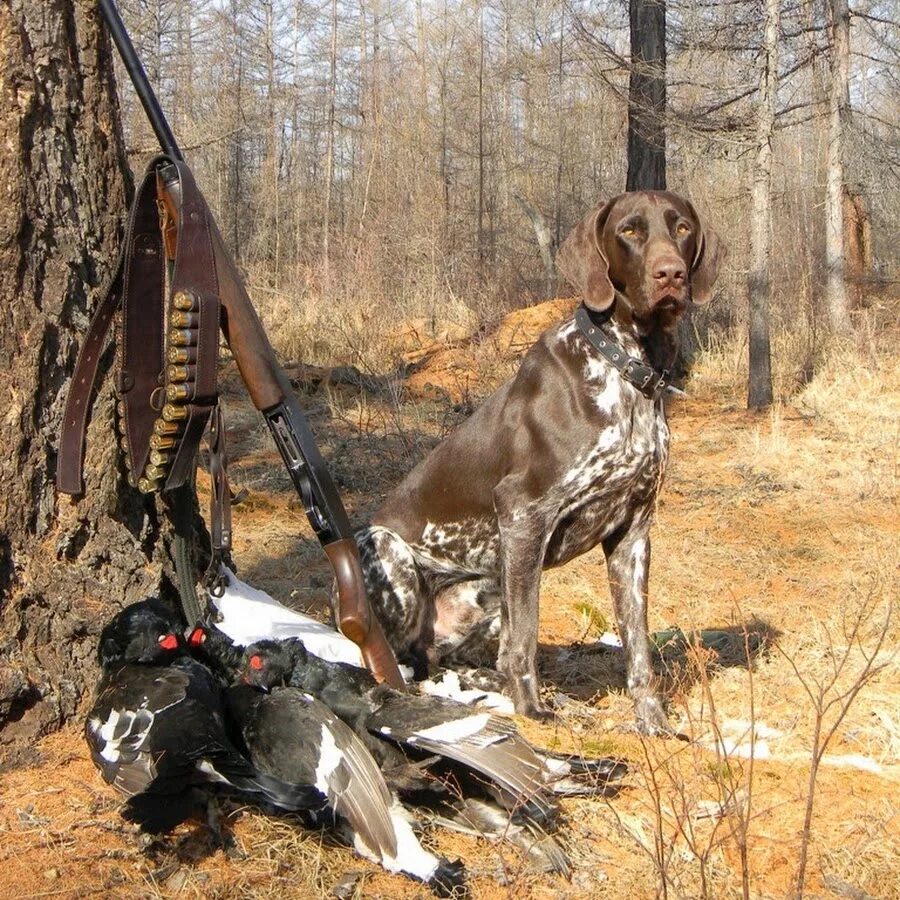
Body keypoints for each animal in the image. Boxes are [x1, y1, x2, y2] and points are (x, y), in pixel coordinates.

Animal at [344, 192, 724, 732]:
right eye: (629, 231)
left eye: (683, 228)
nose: (669, 274)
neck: (627, 368)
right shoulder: (524, 513)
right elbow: (524, 638)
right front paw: (532, 710)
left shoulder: (633, 533)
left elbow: (638, 649)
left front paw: (652, 724)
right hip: (387, 546)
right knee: (406, 659)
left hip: (488, 586)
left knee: (448, 659)